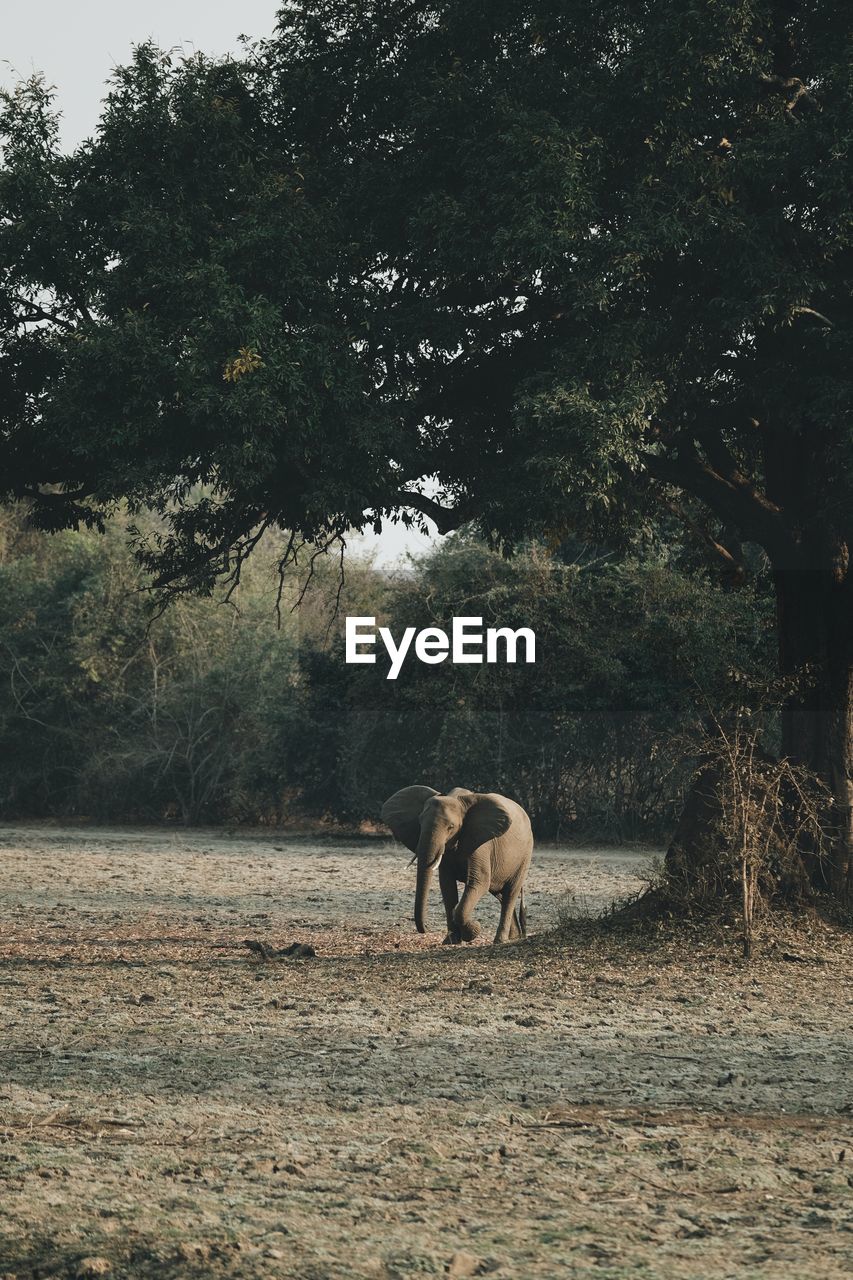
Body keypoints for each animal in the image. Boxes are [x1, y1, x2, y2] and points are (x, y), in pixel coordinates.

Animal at [379, 783, 532, 947]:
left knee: (510, 892)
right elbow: (447, 886)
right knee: (500, 894)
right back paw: (514, 937)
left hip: (525, 854)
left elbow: (478, 882)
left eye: (451, 827)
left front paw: (473, 931)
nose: (425, 929)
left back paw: (500, 940)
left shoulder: (481, 844)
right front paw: (450, 942)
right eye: (419, 822)